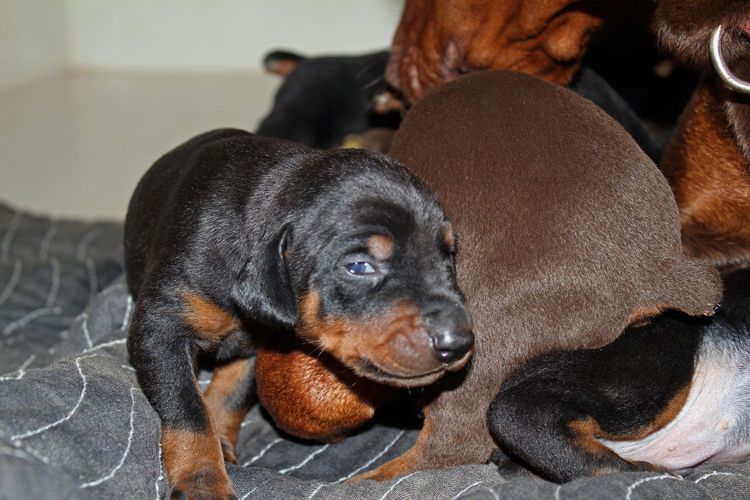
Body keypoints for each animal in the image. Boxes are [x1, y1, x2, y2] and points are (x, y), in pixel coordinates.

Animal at [125, 128, 472, 496]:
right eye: (359, 266)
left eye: (448, 255)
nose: (459, 342)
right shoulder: (162, 329)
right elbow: (190, 410)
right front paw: (203, 482)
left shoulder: (259, 343)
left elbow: (229, 395)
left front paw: (221, 441)